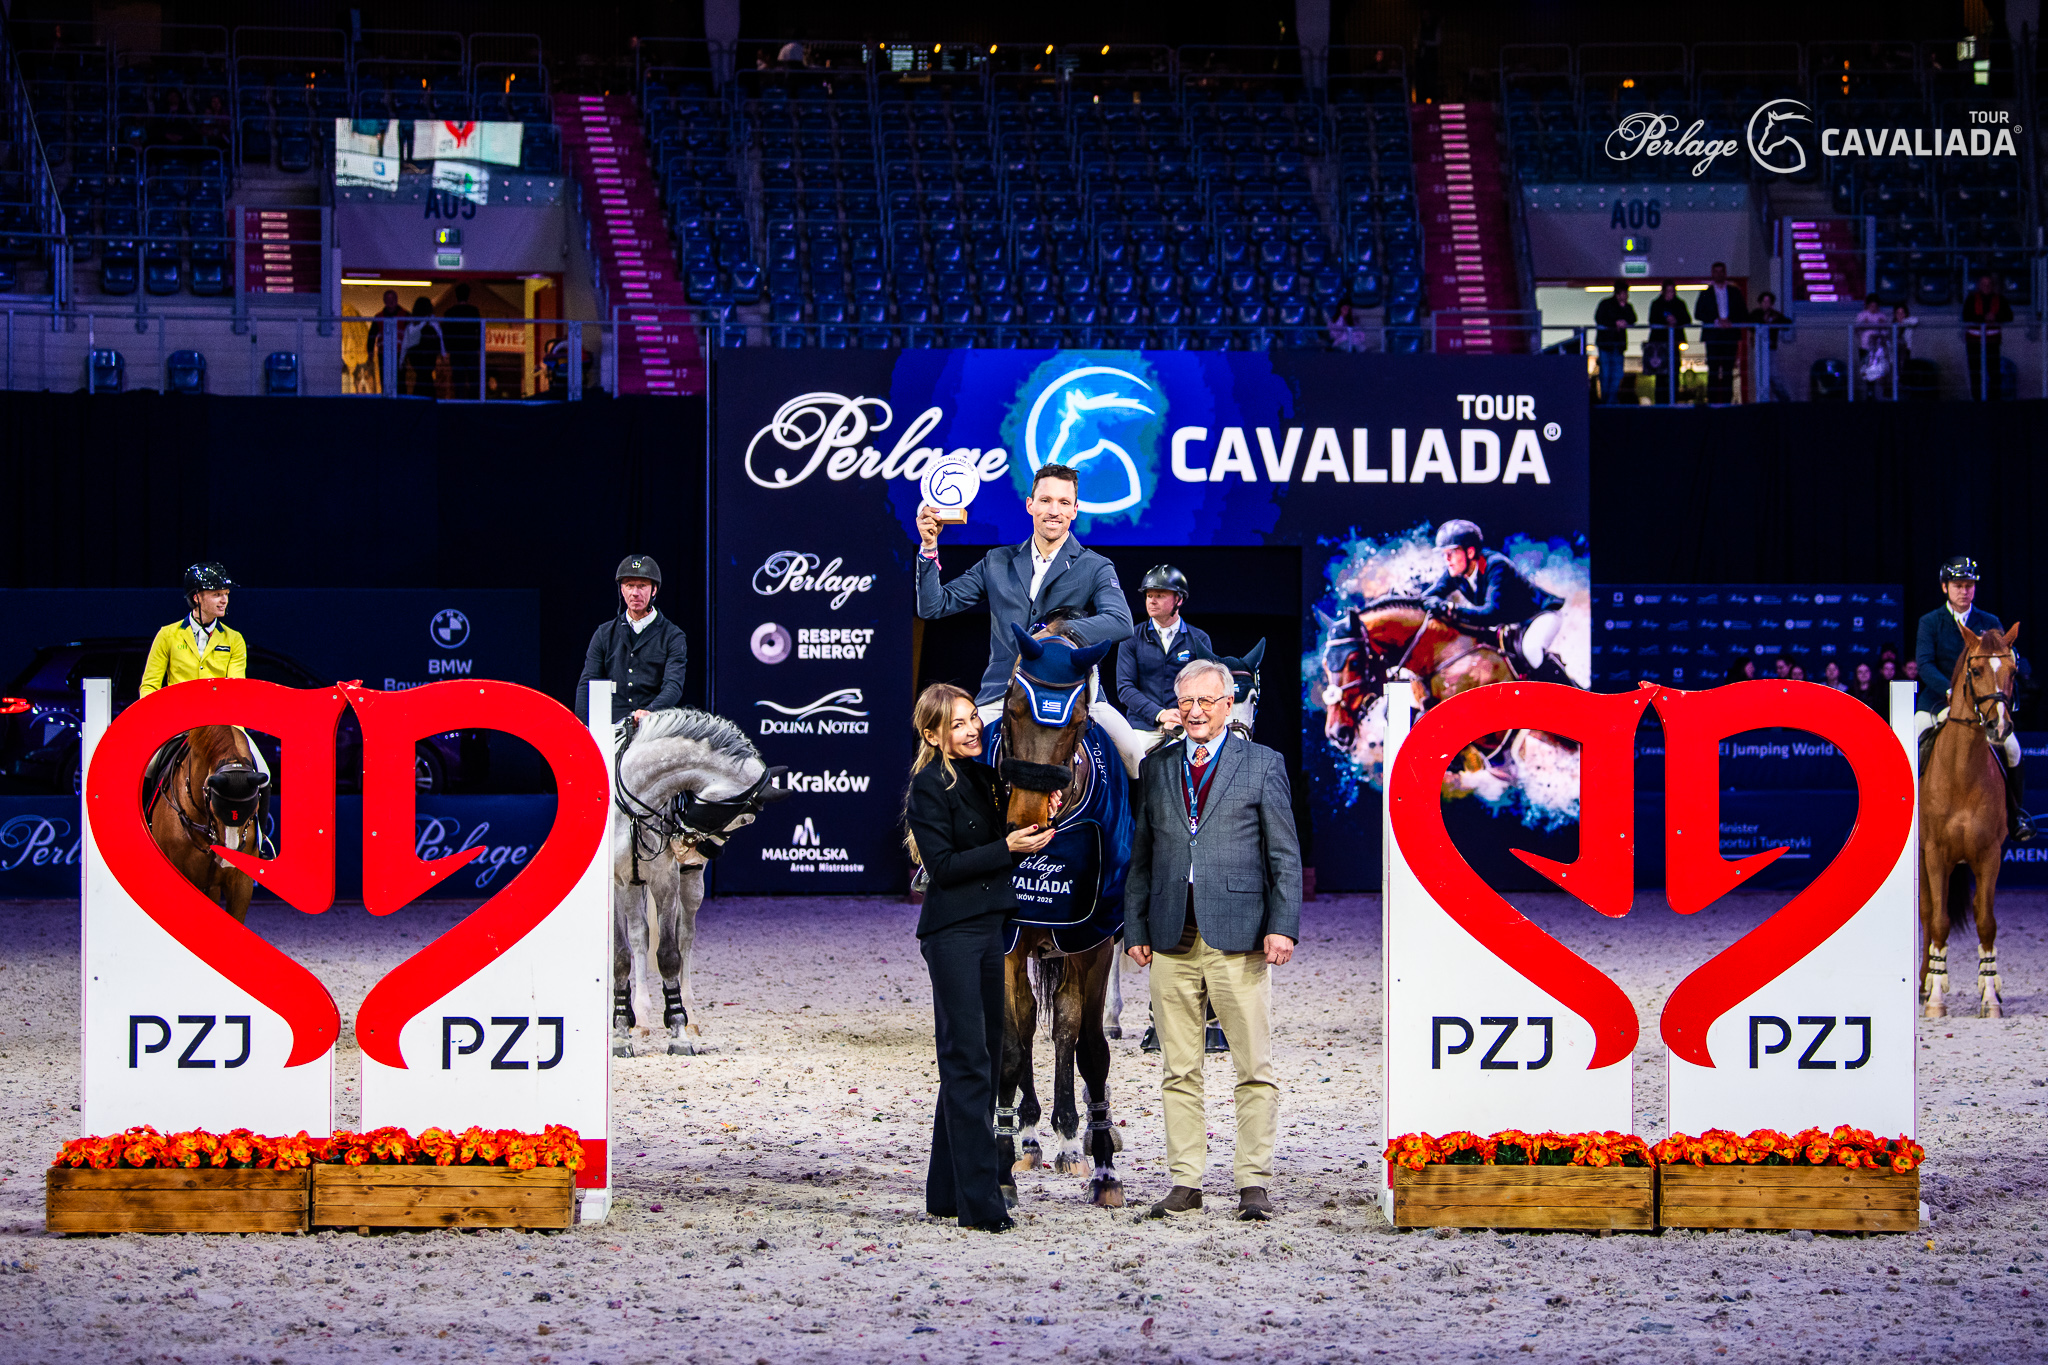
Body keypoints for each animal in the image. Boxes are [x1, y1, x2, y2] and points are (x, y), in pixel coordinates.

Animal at [609, 708, 789, 1056]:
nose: (694, 851)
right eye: (743, 817)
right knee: (638, 938)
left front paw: (678, 1032)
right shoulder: (615, 884)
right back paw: (641, 1018)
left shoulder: (666, 881)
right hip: (631, 886)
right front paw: (622, 1031)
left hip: (688, 887)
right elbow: (621, 957)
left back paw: (687, 1016)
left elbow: (669, 955)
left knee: (684, 938)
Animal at [1919, 620, 2021, 1019]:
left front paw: (1990, 996)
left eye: (2013, 671)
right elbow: (1938, 920)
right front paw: (1935, 998)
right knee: (1927, 914)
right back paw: (1926, 983)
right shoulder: (1934, 854)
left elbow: (1985, 921)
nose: (1999, 728)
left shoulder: (1989, 855)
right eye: (1975, 671)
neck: (1961, 770)